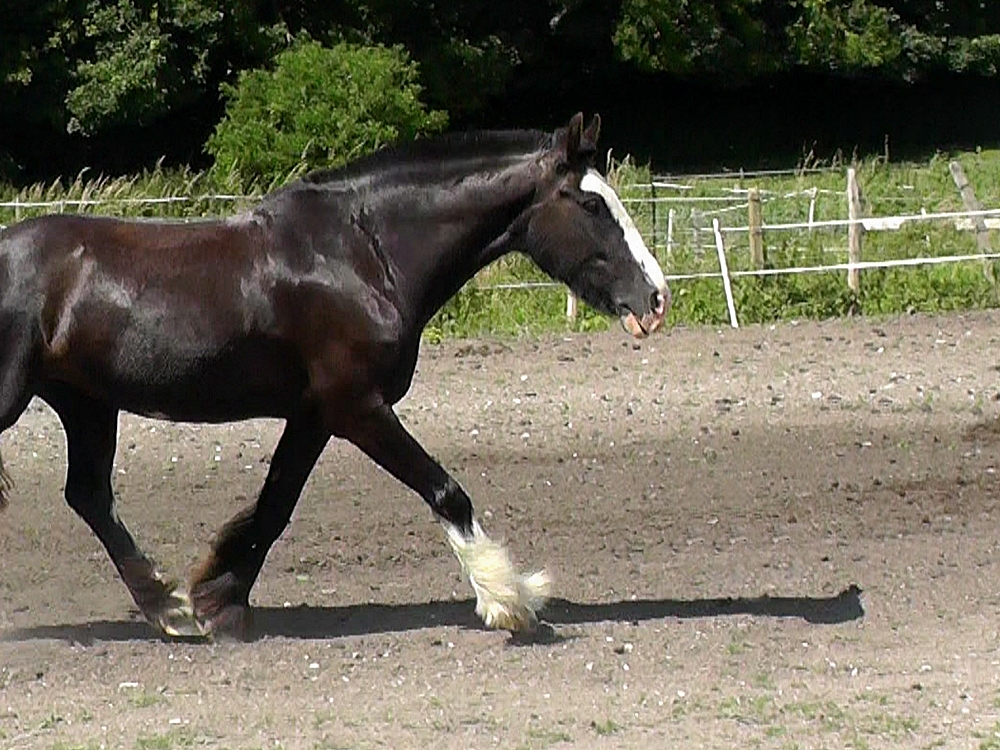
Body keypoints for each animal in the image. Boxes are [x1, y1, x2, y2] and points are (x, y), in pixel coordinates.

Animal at [0, 113, 669, 639]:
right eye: (591, 204)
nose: (656, 299)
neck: (363, 254)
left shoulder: (314, 414)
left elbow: (275, 506)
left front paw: (220, 603)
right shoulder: (357, 407)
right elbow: (445, 490)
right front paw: (510, 600)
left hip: (87, 403)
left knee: (89, 496)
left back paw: (170, 610)